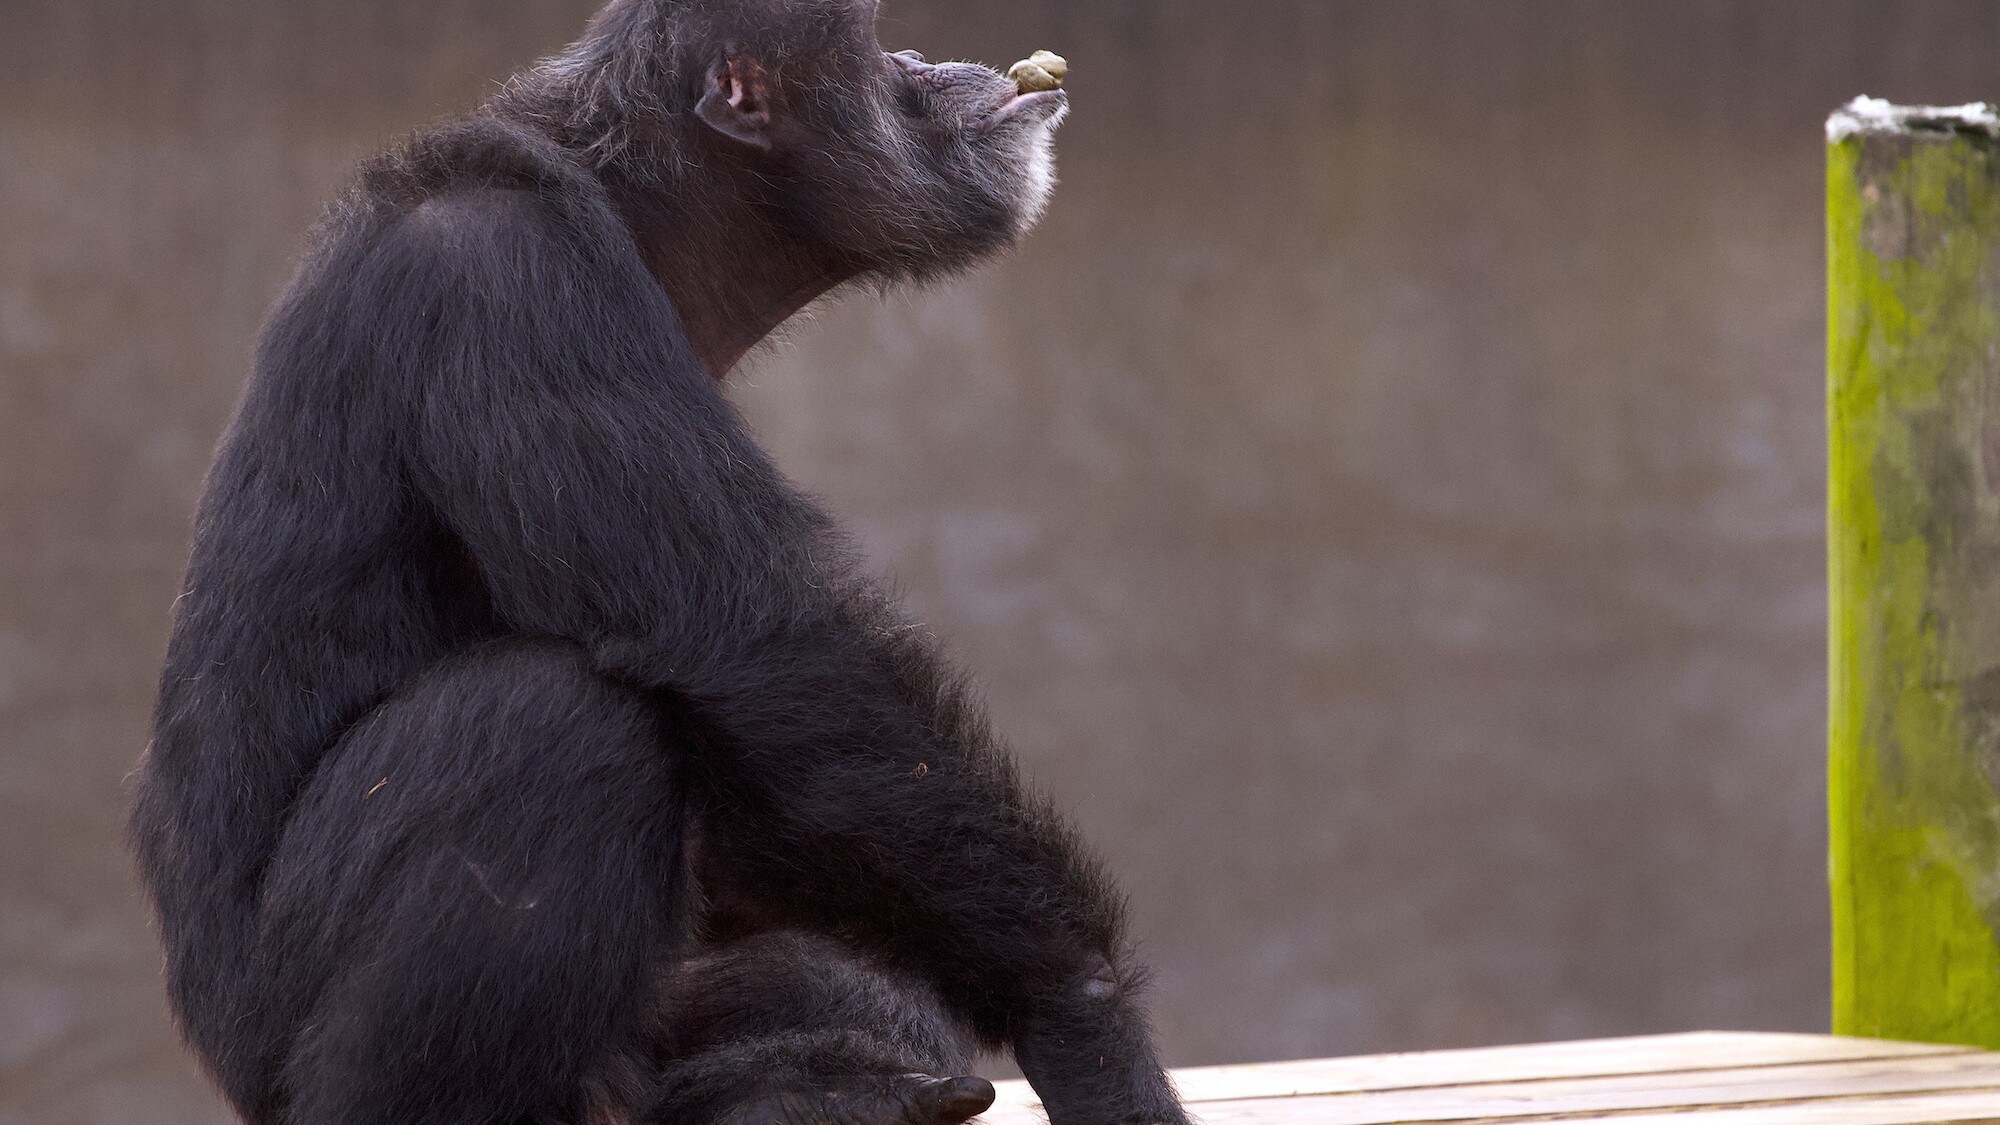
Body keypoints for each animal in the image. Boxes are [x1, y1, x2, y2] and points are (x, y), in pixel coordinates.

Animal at [129, 2, 1184, 1120]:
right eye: (872, 43)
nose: (916, 58)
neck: (635, 207)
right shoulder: (511, 279)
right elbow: (758, 642)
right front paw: (1084, 1014)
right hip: (280, 1030)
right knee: (551, 725)